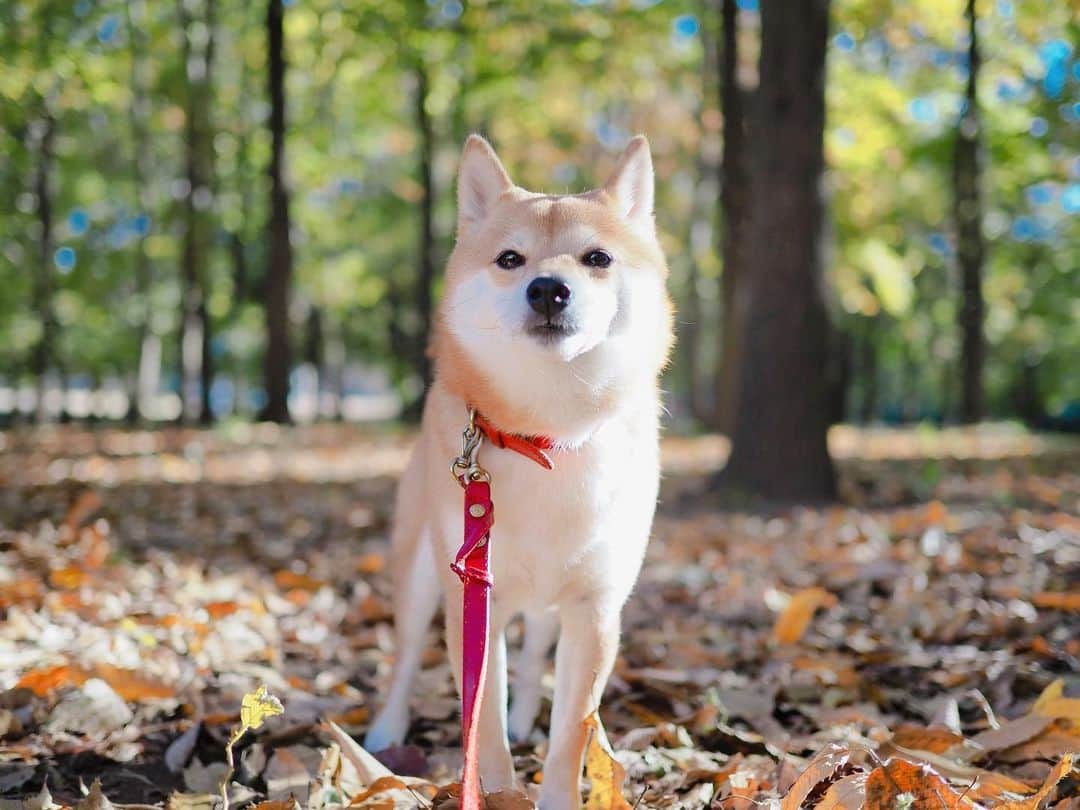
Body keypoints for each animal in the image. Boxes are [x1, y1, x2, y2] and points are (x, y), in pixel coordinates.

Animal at [367, 136, 669, 807]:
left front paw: (555, 792)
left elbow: (571, 736)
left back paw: (531, 710)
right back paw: (386, 729)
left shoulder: (593, 607)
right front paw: (499, 790)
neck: (548, 436)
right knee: (404, 658)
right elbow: (486, 729)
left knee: (534, 658)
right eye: (510, 258)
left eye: (597, 257)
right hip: (422, 570)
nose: (548, 289)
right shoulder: (477, 597)